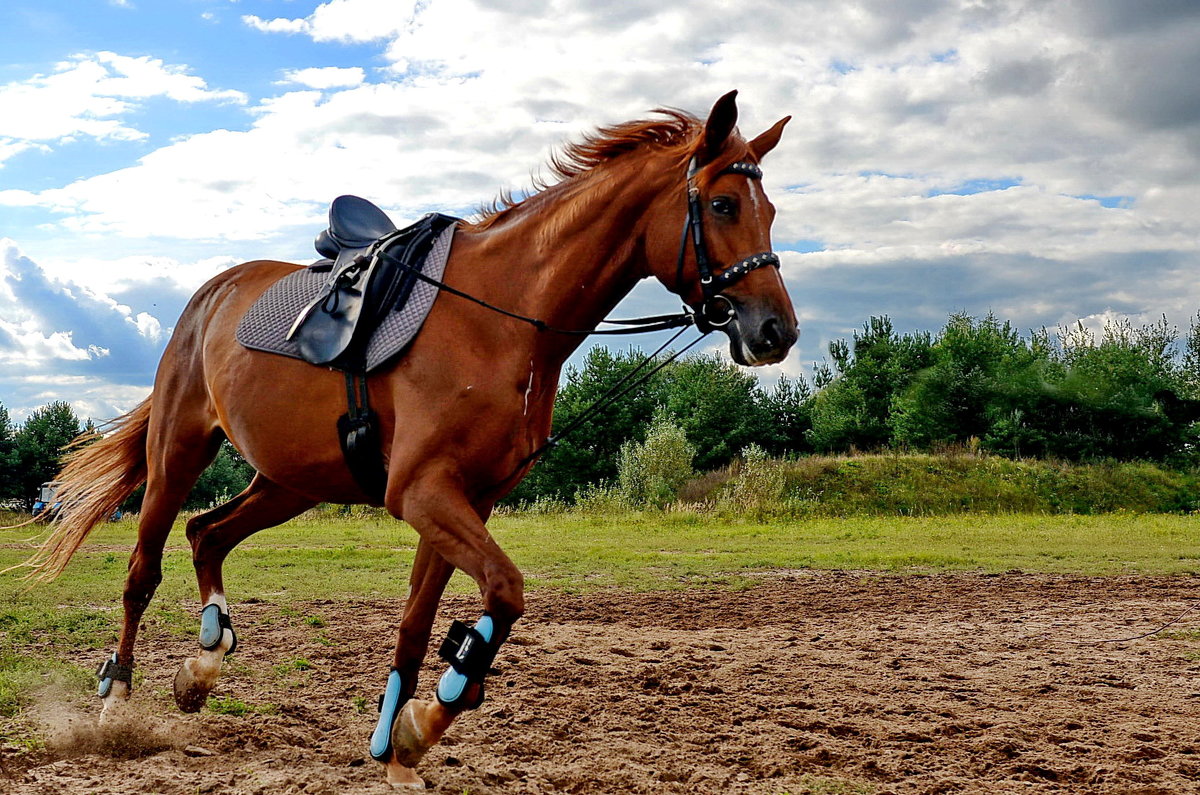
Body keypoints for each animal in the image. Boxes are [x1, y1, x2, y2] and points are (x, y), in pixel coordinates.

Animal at [25, 90, 796, 787]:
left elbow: (421, 624)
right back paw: (117, 701)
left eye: (770, 211)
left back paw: (203, 664)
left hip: (292, 481)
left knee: (206, 533)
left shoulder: (464, 502)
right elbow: (505, 594)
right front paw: (432, 713)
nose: (777, 331)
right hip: (178, 454)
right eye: (723, 206)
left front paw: (400, 741)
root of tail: (209, 295)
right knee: (143, 570)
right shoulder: (422, 492)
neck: (504, 319)